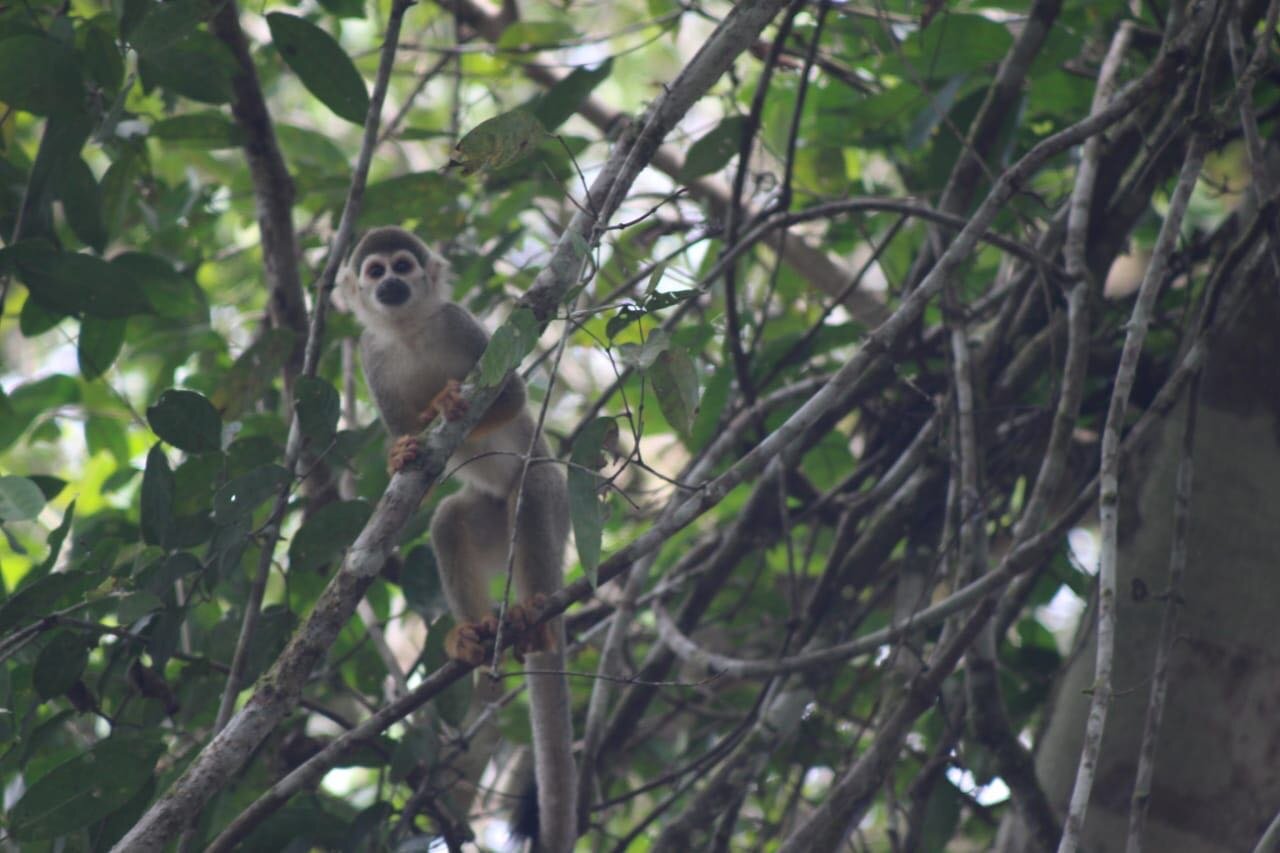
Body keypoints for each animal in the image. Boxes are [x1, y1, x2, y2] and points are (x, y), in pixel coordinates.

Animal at [343, 225, 578, 850]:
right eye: (375, 272)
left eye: (402, 266)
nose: (392, 284)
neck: (408, 329)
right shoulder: (370, 356)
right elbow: (409, 454)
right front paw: (402, 450)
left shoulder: (459, 322)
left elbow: (513, 396)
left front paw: (447, 403)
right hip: (492, 526)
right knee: (450, 518)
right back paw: (474, 634)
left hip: (556, 516)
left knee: (536, 484)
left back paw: (534, 612)